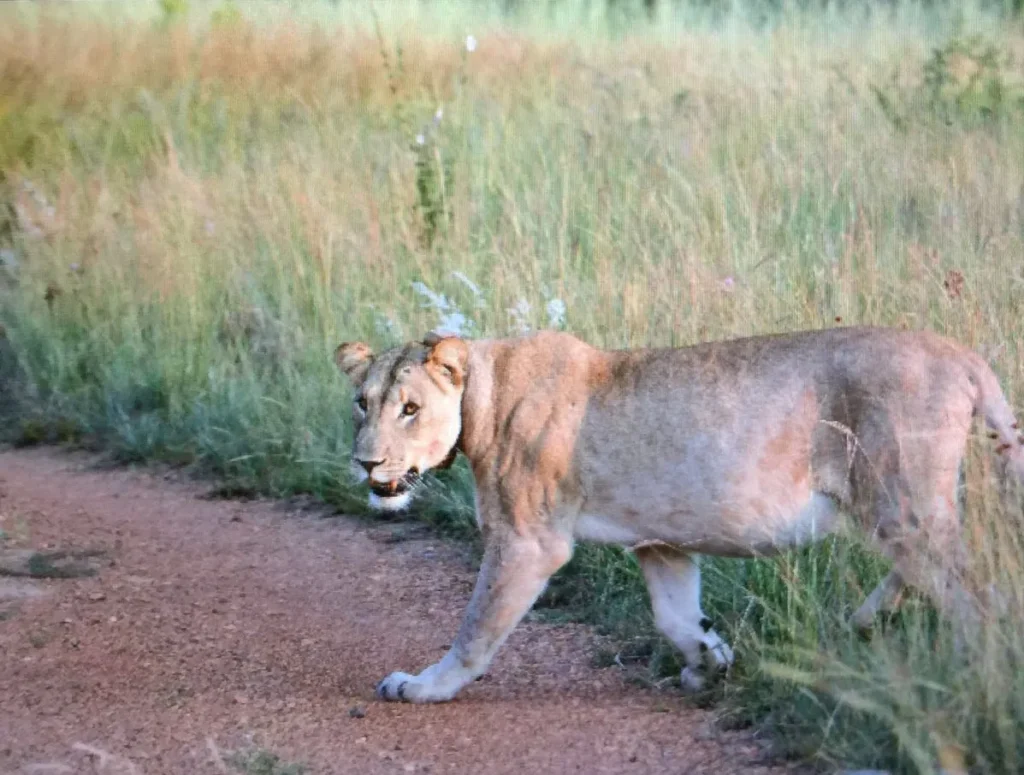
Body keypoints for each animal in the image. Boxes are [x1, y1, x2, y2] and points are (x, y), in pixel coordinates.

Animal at [334, 326, 1024, 702]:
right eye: (362, 403)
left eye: (410, 409)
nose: (366, 464)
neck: (484, 393)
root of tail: (962, 356)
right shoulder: (659, 541)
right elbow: (674, 615)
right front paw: (710, 660)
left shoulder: (527, 540)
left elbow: (476, 628)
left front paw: (423, 686)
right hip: (904, 506)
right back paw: (861, 623)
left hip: (898, 496)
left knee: (976, 596)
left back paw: (967, 675)